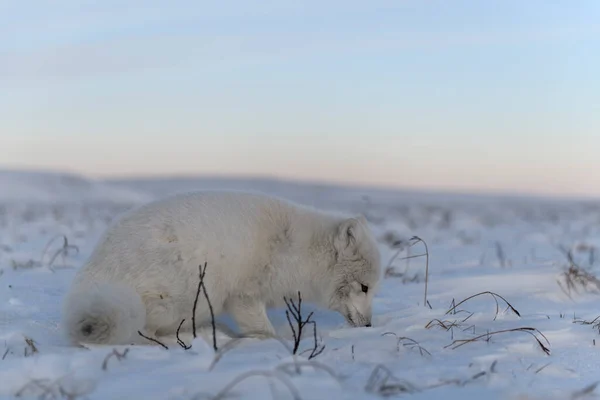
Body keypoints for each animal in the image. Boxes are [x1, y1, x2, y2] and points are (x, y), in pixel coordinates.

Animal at [61, 190, 380, 344]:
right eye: (364, 287)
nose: (369, 326)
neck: (299, 251)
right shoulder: (245, 294)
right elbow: (262, 328)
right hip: (188, 294)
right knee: (146, 329)